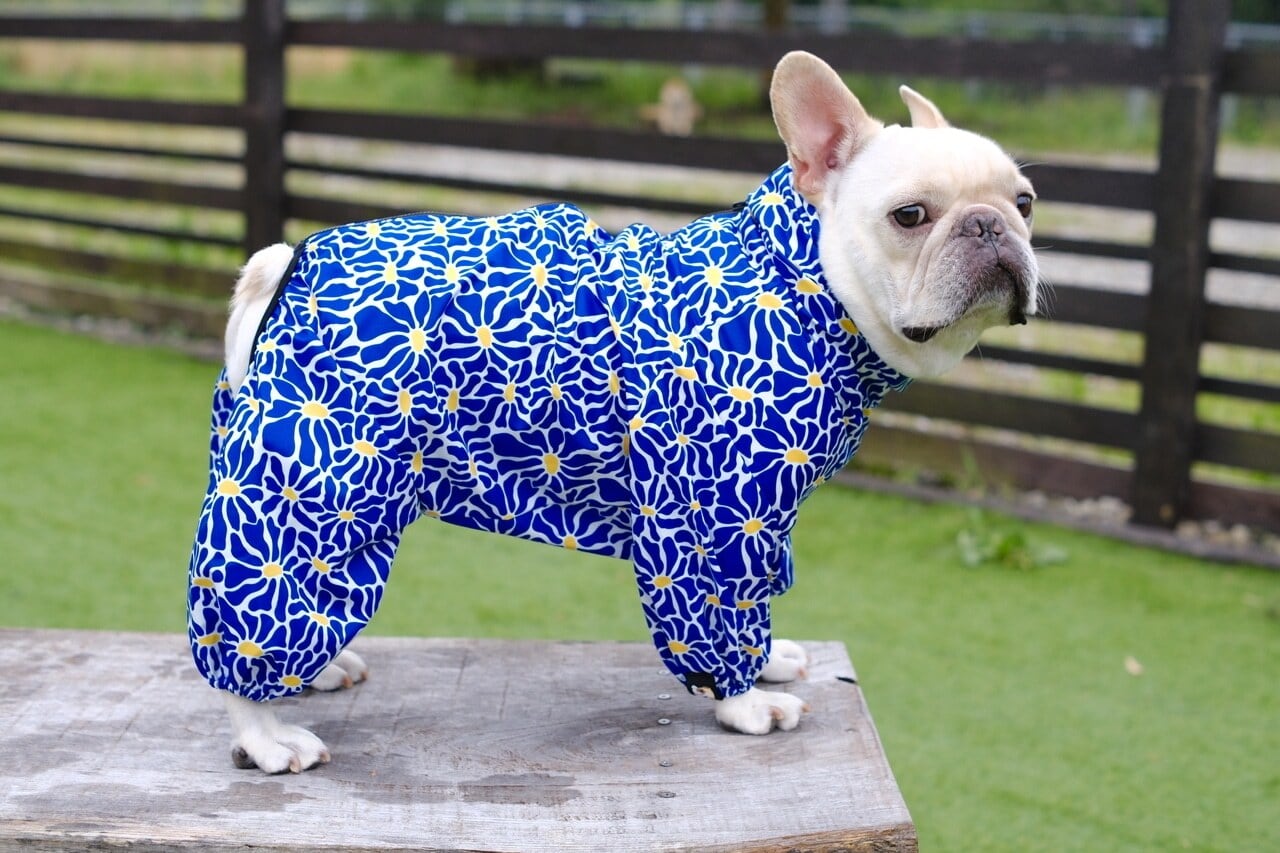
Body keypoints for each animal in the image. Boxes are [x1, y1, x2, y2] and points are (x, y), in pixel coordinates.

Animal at [189, 51, 1038, 773]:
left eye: (1025, 201)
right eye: (910, 216)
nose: (990, 224)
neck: (805, 283)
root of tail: (285, 266)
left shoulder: (765, 521)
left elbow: (761, 596)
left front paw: (767, 660)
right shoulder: (711, 519)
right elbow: (719, 612)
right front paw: (744, 698)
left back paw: (319, 669)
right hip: (314, 488)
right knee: (248, 629)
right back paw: (266, 736)